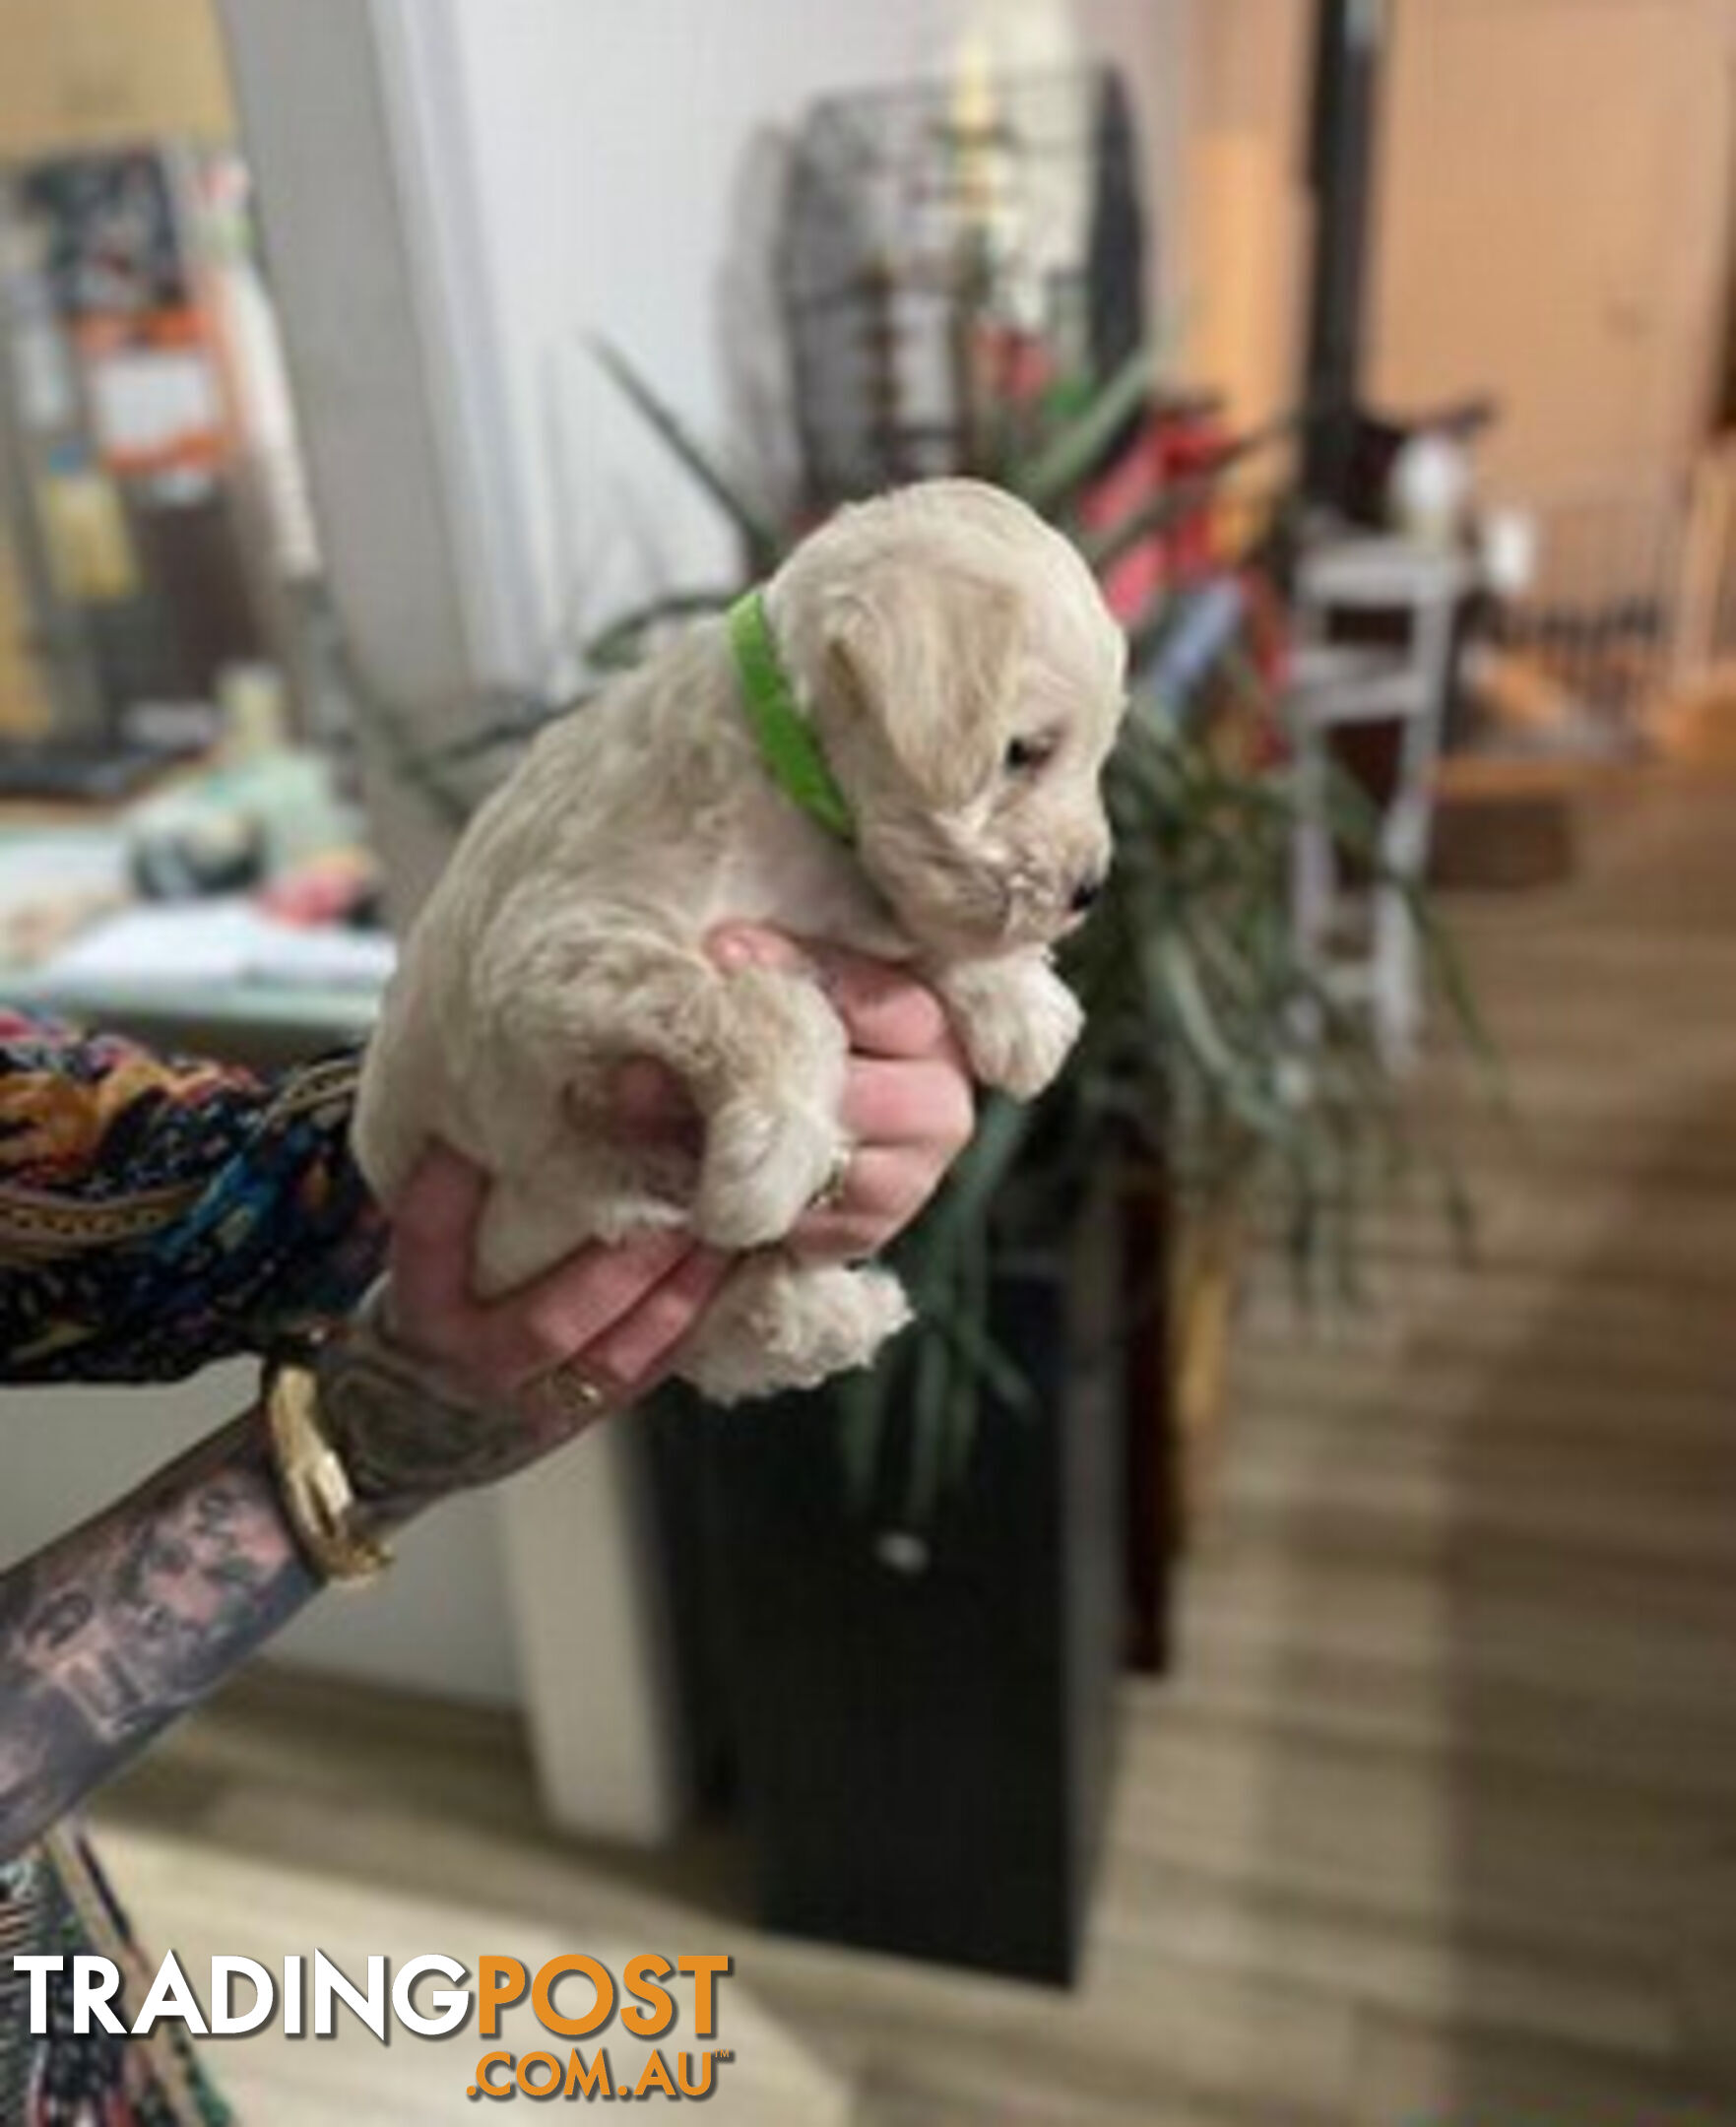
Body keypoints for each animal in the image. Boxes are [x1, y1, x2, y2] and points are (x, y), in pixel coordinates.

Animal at [359, 486, 1131, 1403]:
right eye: (1024, 752)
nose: (1089, 888)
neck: (788, 771)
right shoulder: (560, 947)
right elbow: (771, 1006)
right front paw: (771, 1164)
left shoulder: (845, 899)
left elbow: (910, 925)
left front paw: (1021, 1007)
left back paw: (838, 1312)